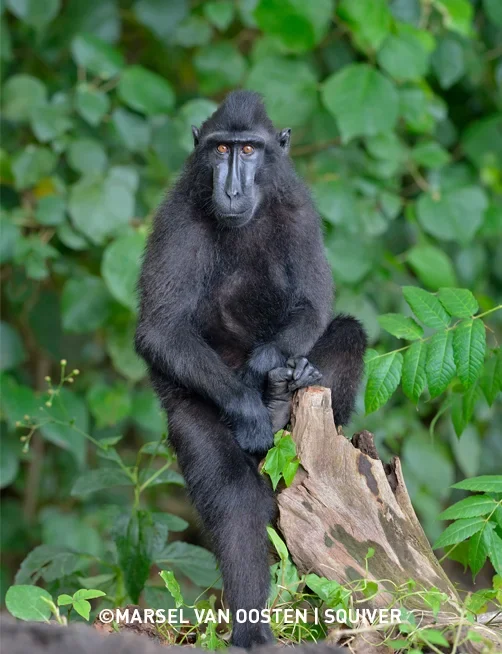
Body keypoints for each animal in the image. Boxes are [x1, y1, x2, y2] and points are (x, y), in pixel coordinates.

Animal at [135, 90, 367, 648]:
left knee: (349, 334)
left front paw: (267, 366)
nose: (232, 187)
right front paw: (249, 407)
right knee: (236, 495)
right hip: (191, 415)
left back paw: (288, 390)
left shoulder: (301, 211)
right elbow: (161, 329)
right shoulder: (177, 218)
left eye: (249, 149)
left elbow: (313, 305)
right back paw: (251, 632)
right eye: (221, 148)